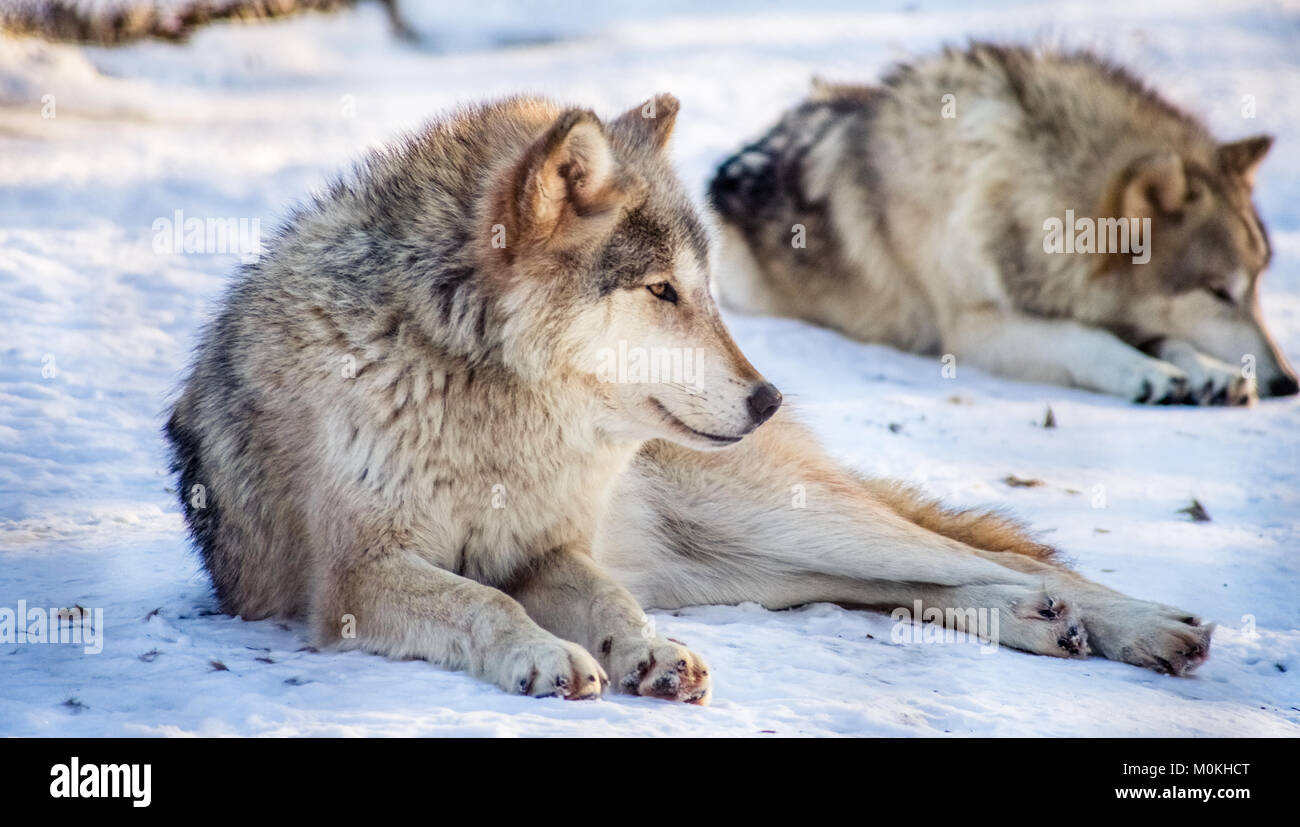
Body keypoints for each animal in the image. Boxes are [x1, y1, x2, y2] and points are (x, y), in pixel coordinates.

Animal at [167, 95, 1211, 702]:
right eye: (661, 291)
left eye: (704, 291)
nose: (768, 396)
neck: (484, 395)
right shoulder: (357, 577)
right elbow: (484, 602)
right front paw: (558, 656)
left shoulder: (549, 551)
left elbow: (605, 597)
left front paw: (644, 651)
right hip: (757, 567)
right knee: (926, 582)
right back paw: (1040, 619)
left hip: (788, 524)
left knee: (988, 555)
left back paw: (1143, 625)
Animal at [712, 43, 1300, 405]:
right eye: (1219, 292)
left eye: (1255, 286)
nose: (1287, 382)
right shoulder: (975, 329)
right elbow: (1080, 337)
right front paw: (1150, 374)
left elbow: (1160, 336)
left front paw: (1210, 372)